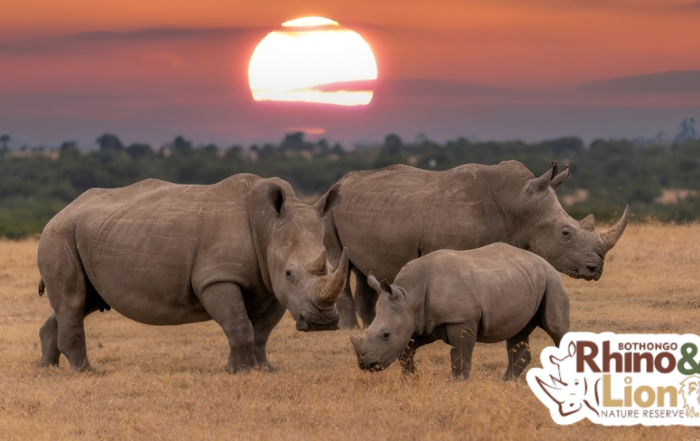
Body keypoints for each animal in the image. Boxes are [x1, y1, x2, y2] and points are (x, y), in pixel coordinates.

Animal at [36, 175, 349, 372]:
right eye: (289, 273)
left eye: (332, 267)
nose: (324, 322)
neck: (268, 227)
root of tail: (64, 210)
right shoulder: (218, 278)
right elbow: (238, 324)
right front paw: (241, 371)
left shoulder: (270, 286)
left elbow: (261, 331)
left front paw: (264, 369)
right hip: (59, 234)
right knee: (73, 302)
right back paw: (85, 371)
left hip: (88, 233)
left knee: (81, 303)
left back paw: (46, 368)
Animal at [315, 160, 629, 328]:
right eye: (565, 233)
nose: (596, 269)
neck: (518, 203)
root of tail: (337, 183)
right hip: (328, 209)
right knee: (340, 261)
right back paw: (348, 330)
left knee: (362, 268)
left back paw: (370, 325)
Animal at [350, 243, 570, 380]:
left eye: (386, 334)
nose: (365, 365)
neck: (410, 295)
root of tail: (543, 260)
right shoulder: (421, 322)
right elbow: (407, 349)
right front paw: (409, 379)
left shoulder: (460, 320)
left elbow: (460, 354)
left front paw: (458, 383)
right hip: (522, 280)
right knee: (517, 332)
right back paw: (506, 381)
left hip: (551, 280)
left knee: (555, 328)